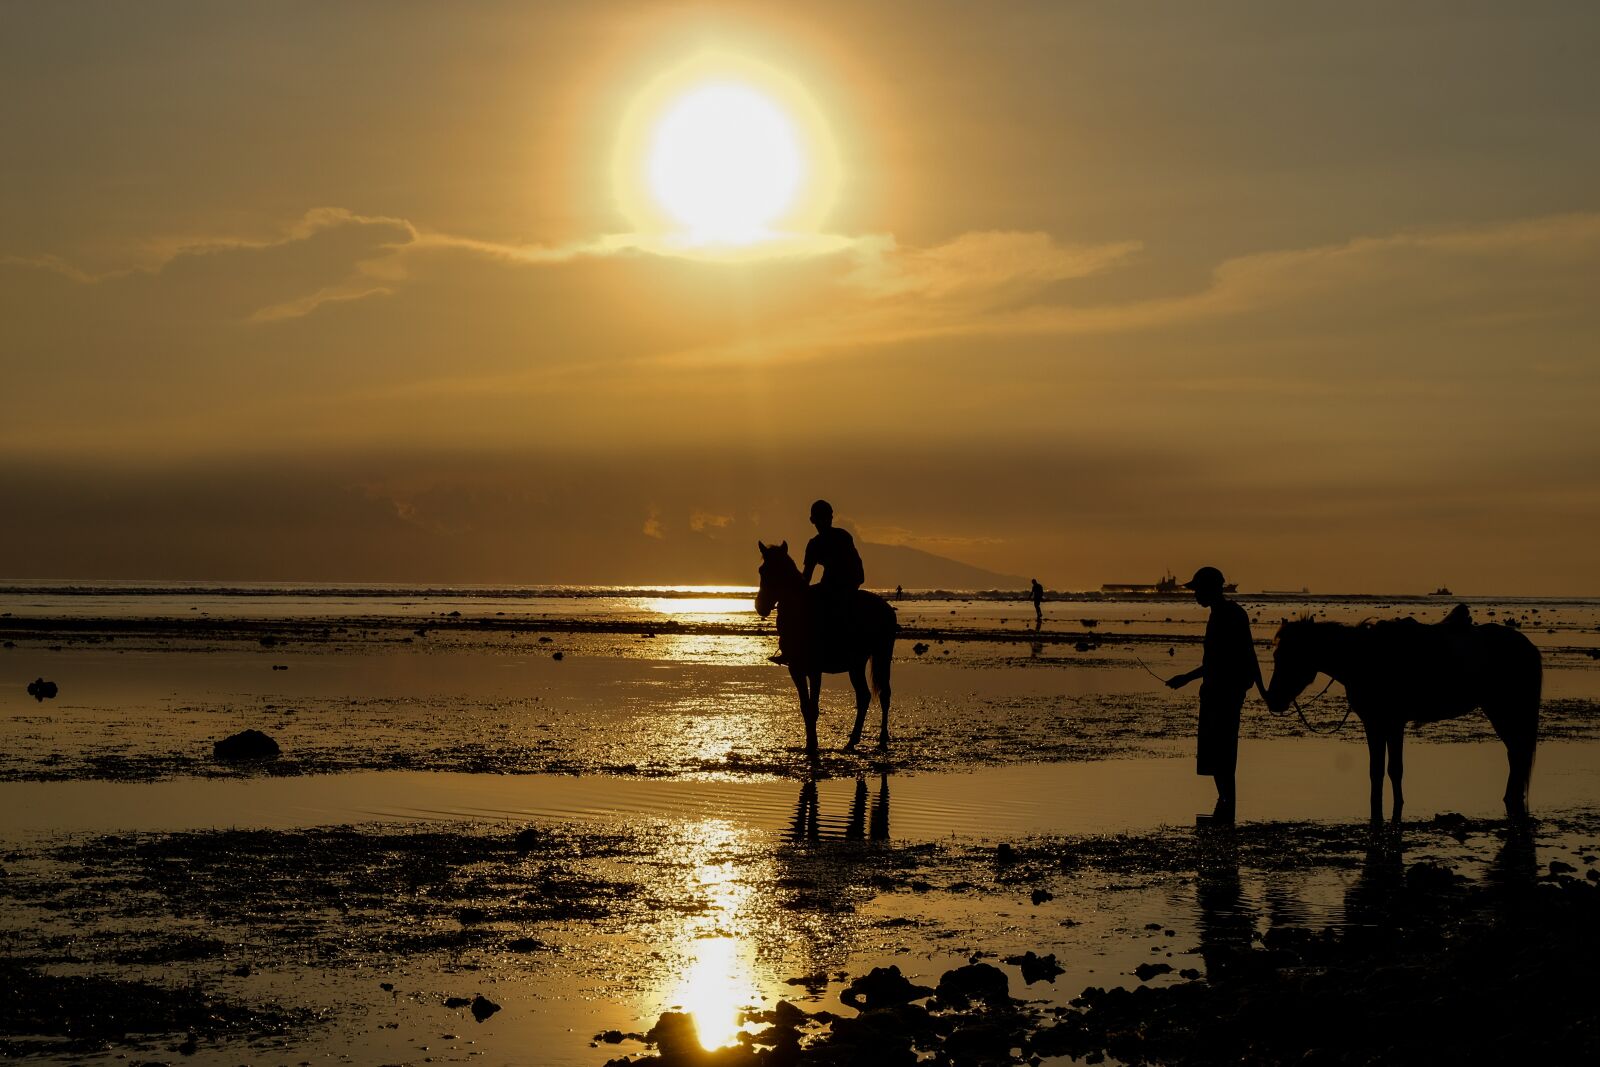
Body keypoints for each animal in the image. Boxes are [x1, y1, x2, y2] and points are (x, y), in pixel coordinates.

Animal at [752, 543, 896, 758]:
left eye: (779, 571)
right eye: (762, 570)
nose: (761, 606)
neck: (800, 613)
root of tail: (886, 608)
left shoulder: (815, 670)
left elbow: (813, 706)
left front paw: (813, 744)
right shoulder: (795, 668)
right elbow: (805, 706)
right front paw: (809, 743)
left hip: (882, 654)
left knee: (884, 694)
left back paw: (882, 739)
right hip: (856, 663)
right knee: (863, 696)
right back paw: (852, 741)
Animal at [1267, 607, 1542, 825]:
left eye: (1287, 656)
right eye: (1276, 655)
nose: (1273, 699)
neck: (1365, 658)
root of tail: (1527, 647)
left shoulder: (1394, 722)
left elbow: (1394, 768)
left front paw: (1397, 805)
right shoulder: (1374, 723)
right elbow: (1376, 770)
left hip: (1504, 710)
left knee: (1517, 753)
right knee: (1515, 754)